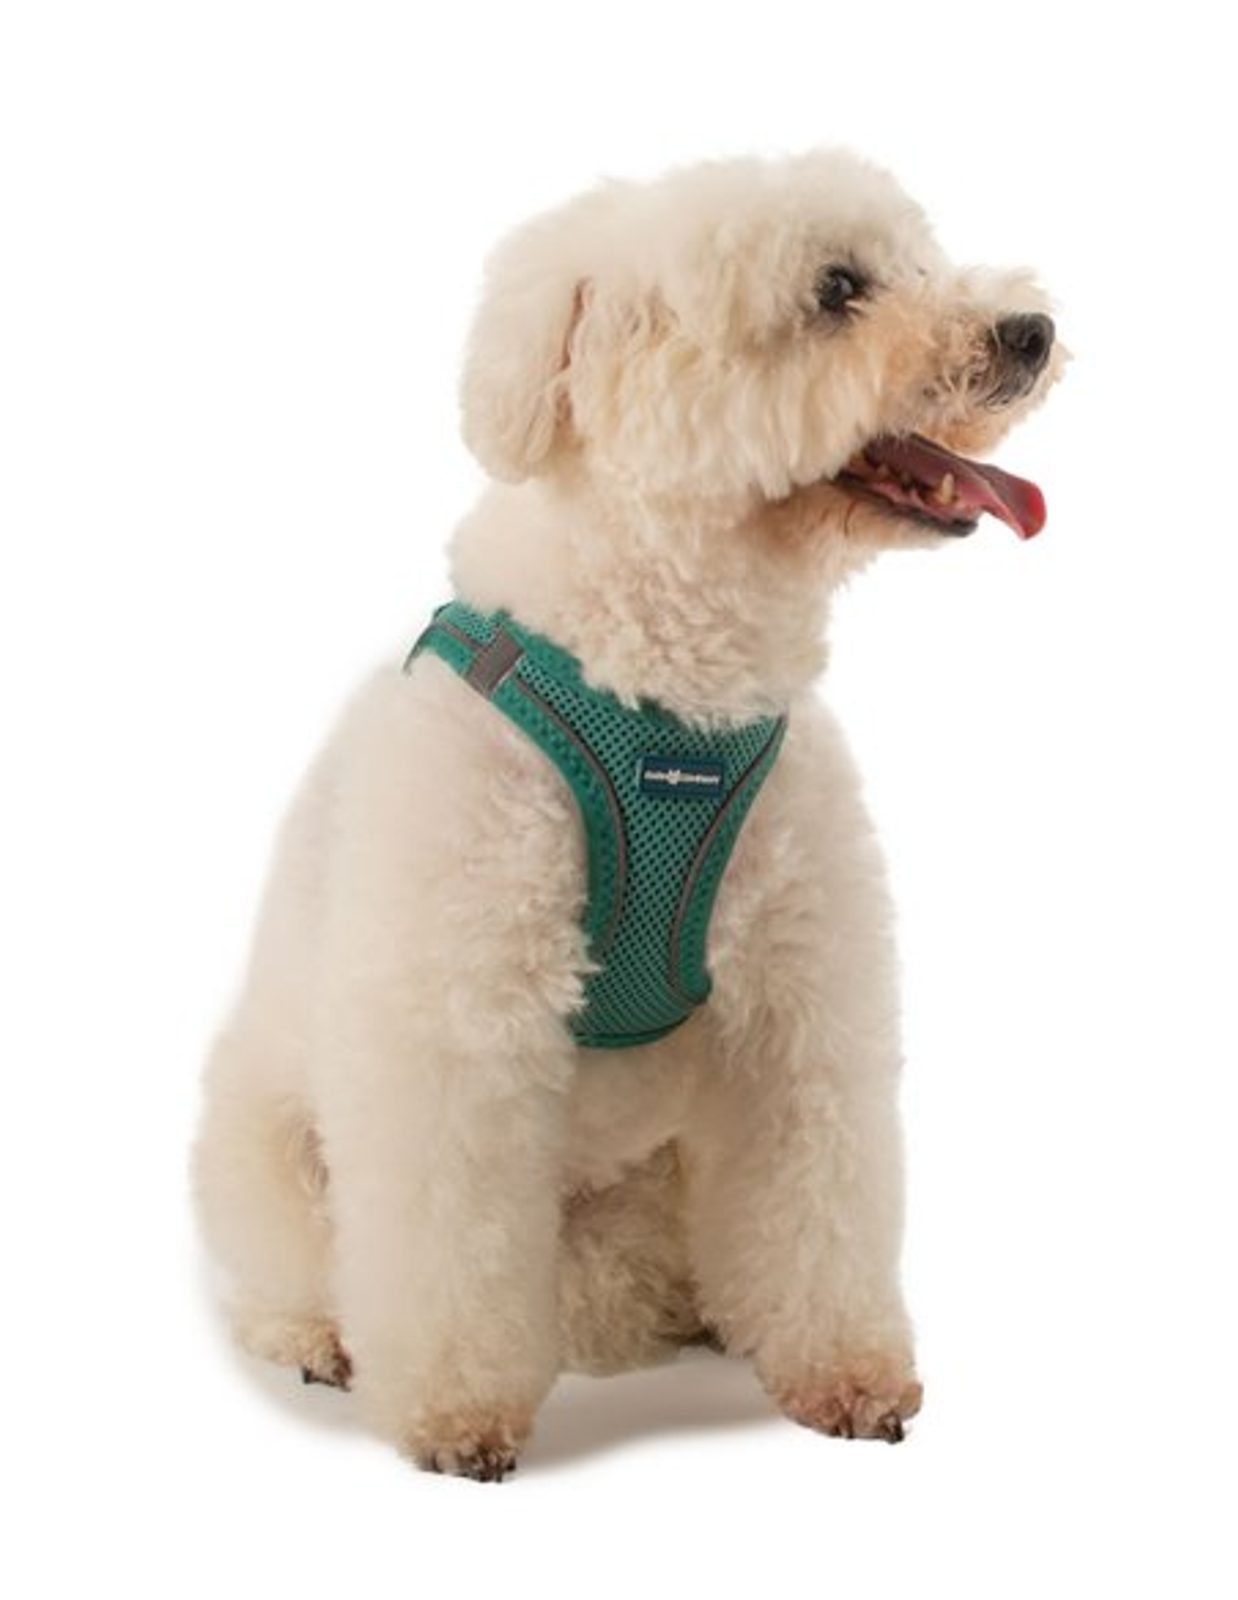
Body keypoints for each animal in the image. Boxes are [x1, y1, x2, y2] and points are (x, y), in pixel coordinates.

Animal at [193, 149, 1061, 1480]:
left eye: (919, 259)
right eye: (837, 289)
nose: (1029, 330)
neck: (666, 695)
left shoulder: (797, 1013)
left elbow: (816, 1201)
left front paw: (843, 1372)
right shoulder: (459, 1028)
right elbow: (443, 1238)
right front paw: (454, 1413)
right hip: (269, 1144)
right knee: (291, 1268)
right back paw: (321, 1336)